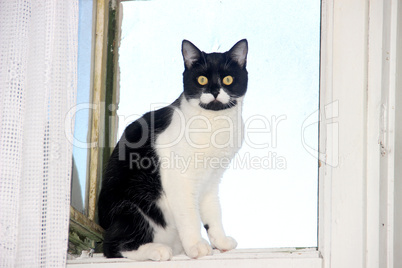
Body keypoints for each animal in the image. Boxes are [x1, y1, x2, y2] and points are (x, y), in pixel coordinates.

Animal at [97, 38, 248, 260]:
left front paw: (220, 241)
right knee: (113, 246)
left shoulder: (212, 179)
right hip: (130, 207)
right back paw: (157, 250)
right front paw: (196, 246)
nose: (214, 91)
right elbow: (190, 215)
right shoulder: (179, 178)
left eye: (228, 79)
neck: (214, 123)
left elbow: (213, 212)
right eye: (202, 79)